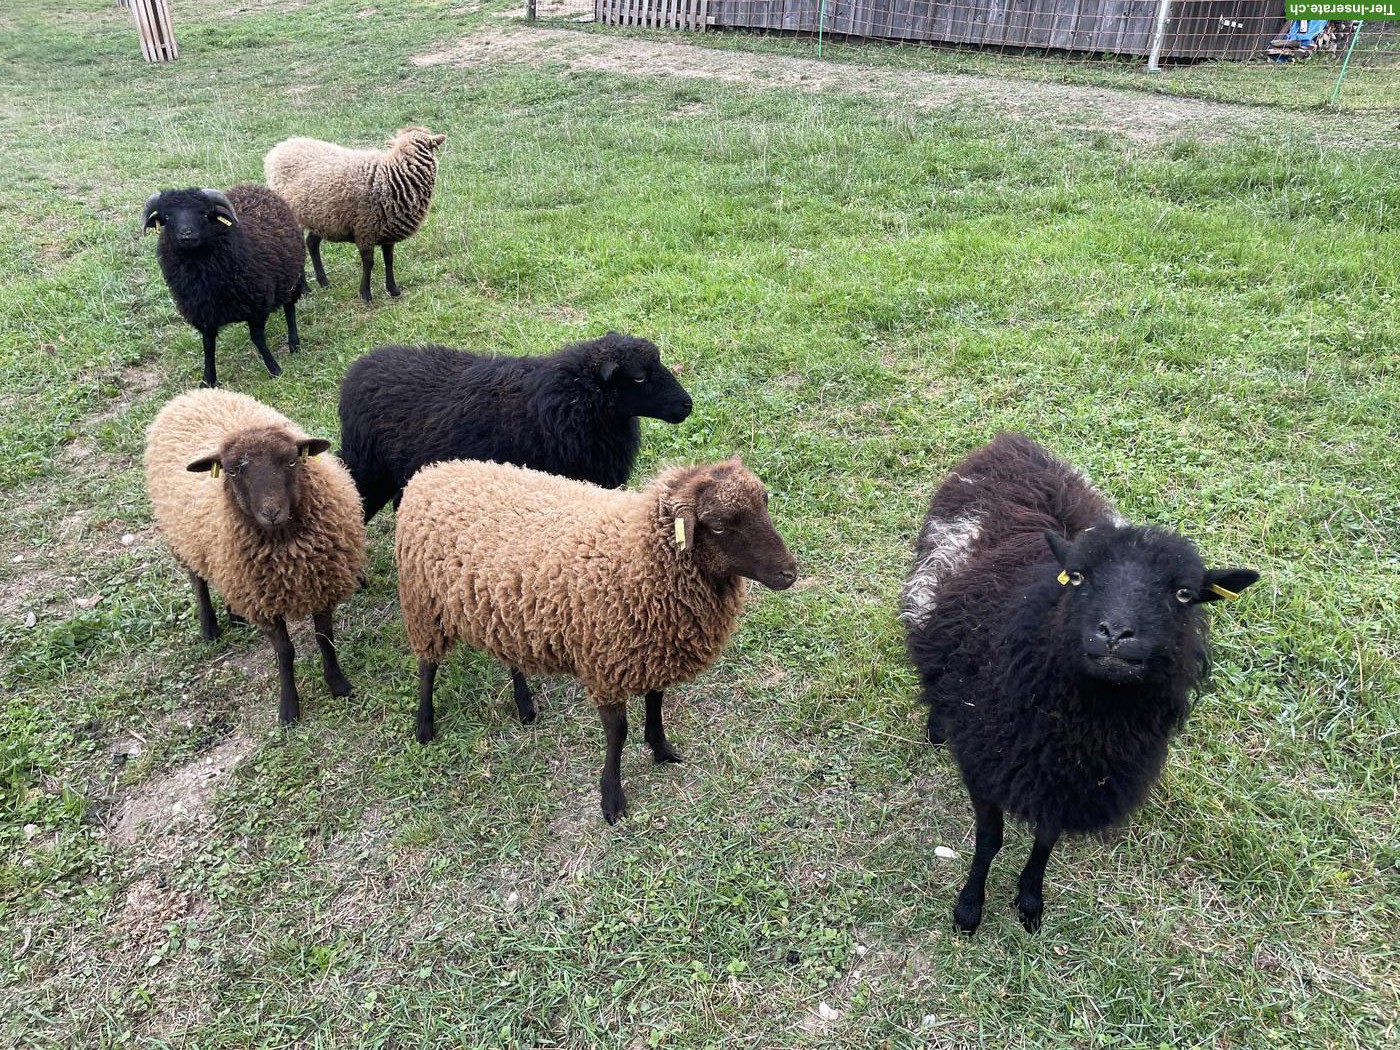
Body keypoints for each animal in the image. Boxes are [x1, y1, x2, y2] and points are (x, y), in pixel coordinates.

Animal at [142, 185, 308, 389]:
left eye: (205, 214)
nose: (186, 234)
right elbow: (208, 345)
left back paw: (294, 343)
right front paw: (208, 380)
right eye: (166, 217)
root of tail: (252, 186)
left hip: (292, 277)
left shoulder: (257, 306)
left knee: (289, 308)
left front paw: (274, 369)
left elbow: (258, 339)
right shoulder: (203, 313)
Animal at [145, 389, 368, 725]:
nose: (271, 512)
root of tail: (190, 395)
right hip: (182, 539)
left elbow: (324, 638)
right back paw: (209, 628)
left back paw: (235, 616)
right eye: (233, 470)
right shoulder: (264, 604)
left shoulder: (320, 585)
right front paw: (288, 708)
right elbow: (285, 653)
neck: (287, 551)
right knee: (197, 580)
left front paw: (338, 684)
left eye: (291, 461)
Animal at [263, 126, 445, 303]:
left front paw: (393, 290)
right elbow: (369, 263)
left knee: (312, 243)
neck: (392, 174)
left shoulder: (388, 230)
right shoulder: (365, 230)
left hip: (321, 217)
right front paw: (366, 295)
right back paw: (305, 289)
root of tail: (279, 148)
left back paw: (324, 282)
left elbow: (389, 260)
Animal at [395, 456, 798, 824]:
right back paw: (424, 725)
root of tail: (431, 472)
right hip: (423, 604)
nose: (789, 573)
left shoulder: (654, 648)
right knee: (427, 665)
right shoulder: (605, 663)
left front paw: (661, 748)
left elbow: (656, 701)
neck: (639, 555)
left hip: (501, 613)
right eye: (717, 526)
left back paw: (524, 705)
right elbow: (617, 733)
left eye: (765, 503)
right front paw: (612, 797)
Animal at [900, 432, 1259, 935]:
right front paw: (969, 909)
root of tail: (1014, 443)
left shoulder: (1069, 781)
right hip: (929, 595)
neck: (1085, 724)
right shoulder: (986, 762)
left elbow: (1045, 841)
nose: (1114, 633)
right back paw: (937, 724)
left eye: (1183, 593)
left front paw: (1030, 901)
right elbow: (989, 841)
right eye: (1079, 577)